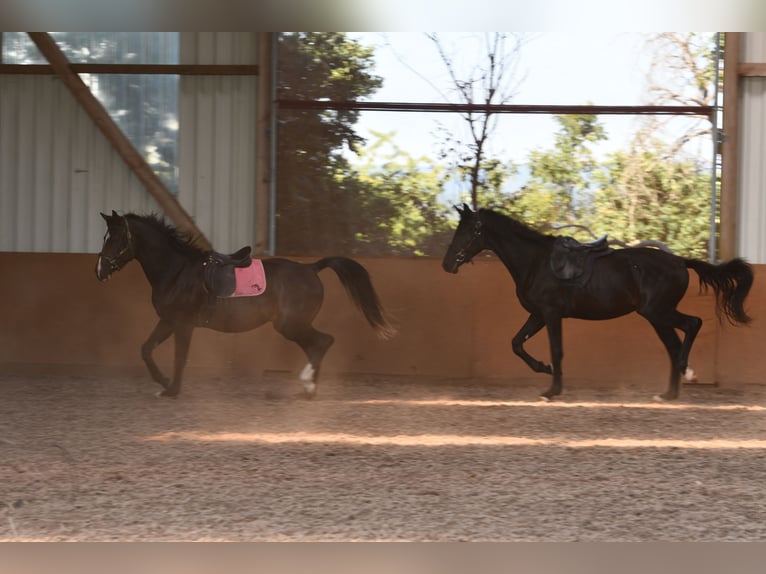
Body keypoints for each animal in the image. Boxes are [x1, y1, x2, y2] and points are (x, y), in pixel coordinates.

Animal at [96, 213, 396, 400]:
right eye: (105, 237)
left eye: (116, 238)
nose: (99, 270)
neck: (176, 270)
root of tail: (311, 268)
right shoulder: (168, 321)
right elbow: (146, 349)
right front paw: (162, 383)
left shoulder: (183, 324)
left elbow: (179, 357)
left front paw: (172, 390)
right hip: (293, 325)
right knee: (317, 345)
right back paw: (308, 390)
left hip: (291, 324)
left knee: (323, 342)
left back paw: (307, 385)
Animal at [440, 205, 752, 402]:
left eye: (466, 232)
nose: (447, 264)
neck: (536, 262)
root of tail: (679, 261)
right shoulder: (538, 315)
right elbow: (517, 344)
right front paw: (545, 370)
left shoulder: (551, 314)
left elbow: (556, 350)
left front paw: (552, 391)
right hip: (656, 316)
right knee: (674, 345)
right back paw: (668, 395)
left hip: (658, 311)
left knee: (692, 325)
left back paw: (687, 372)